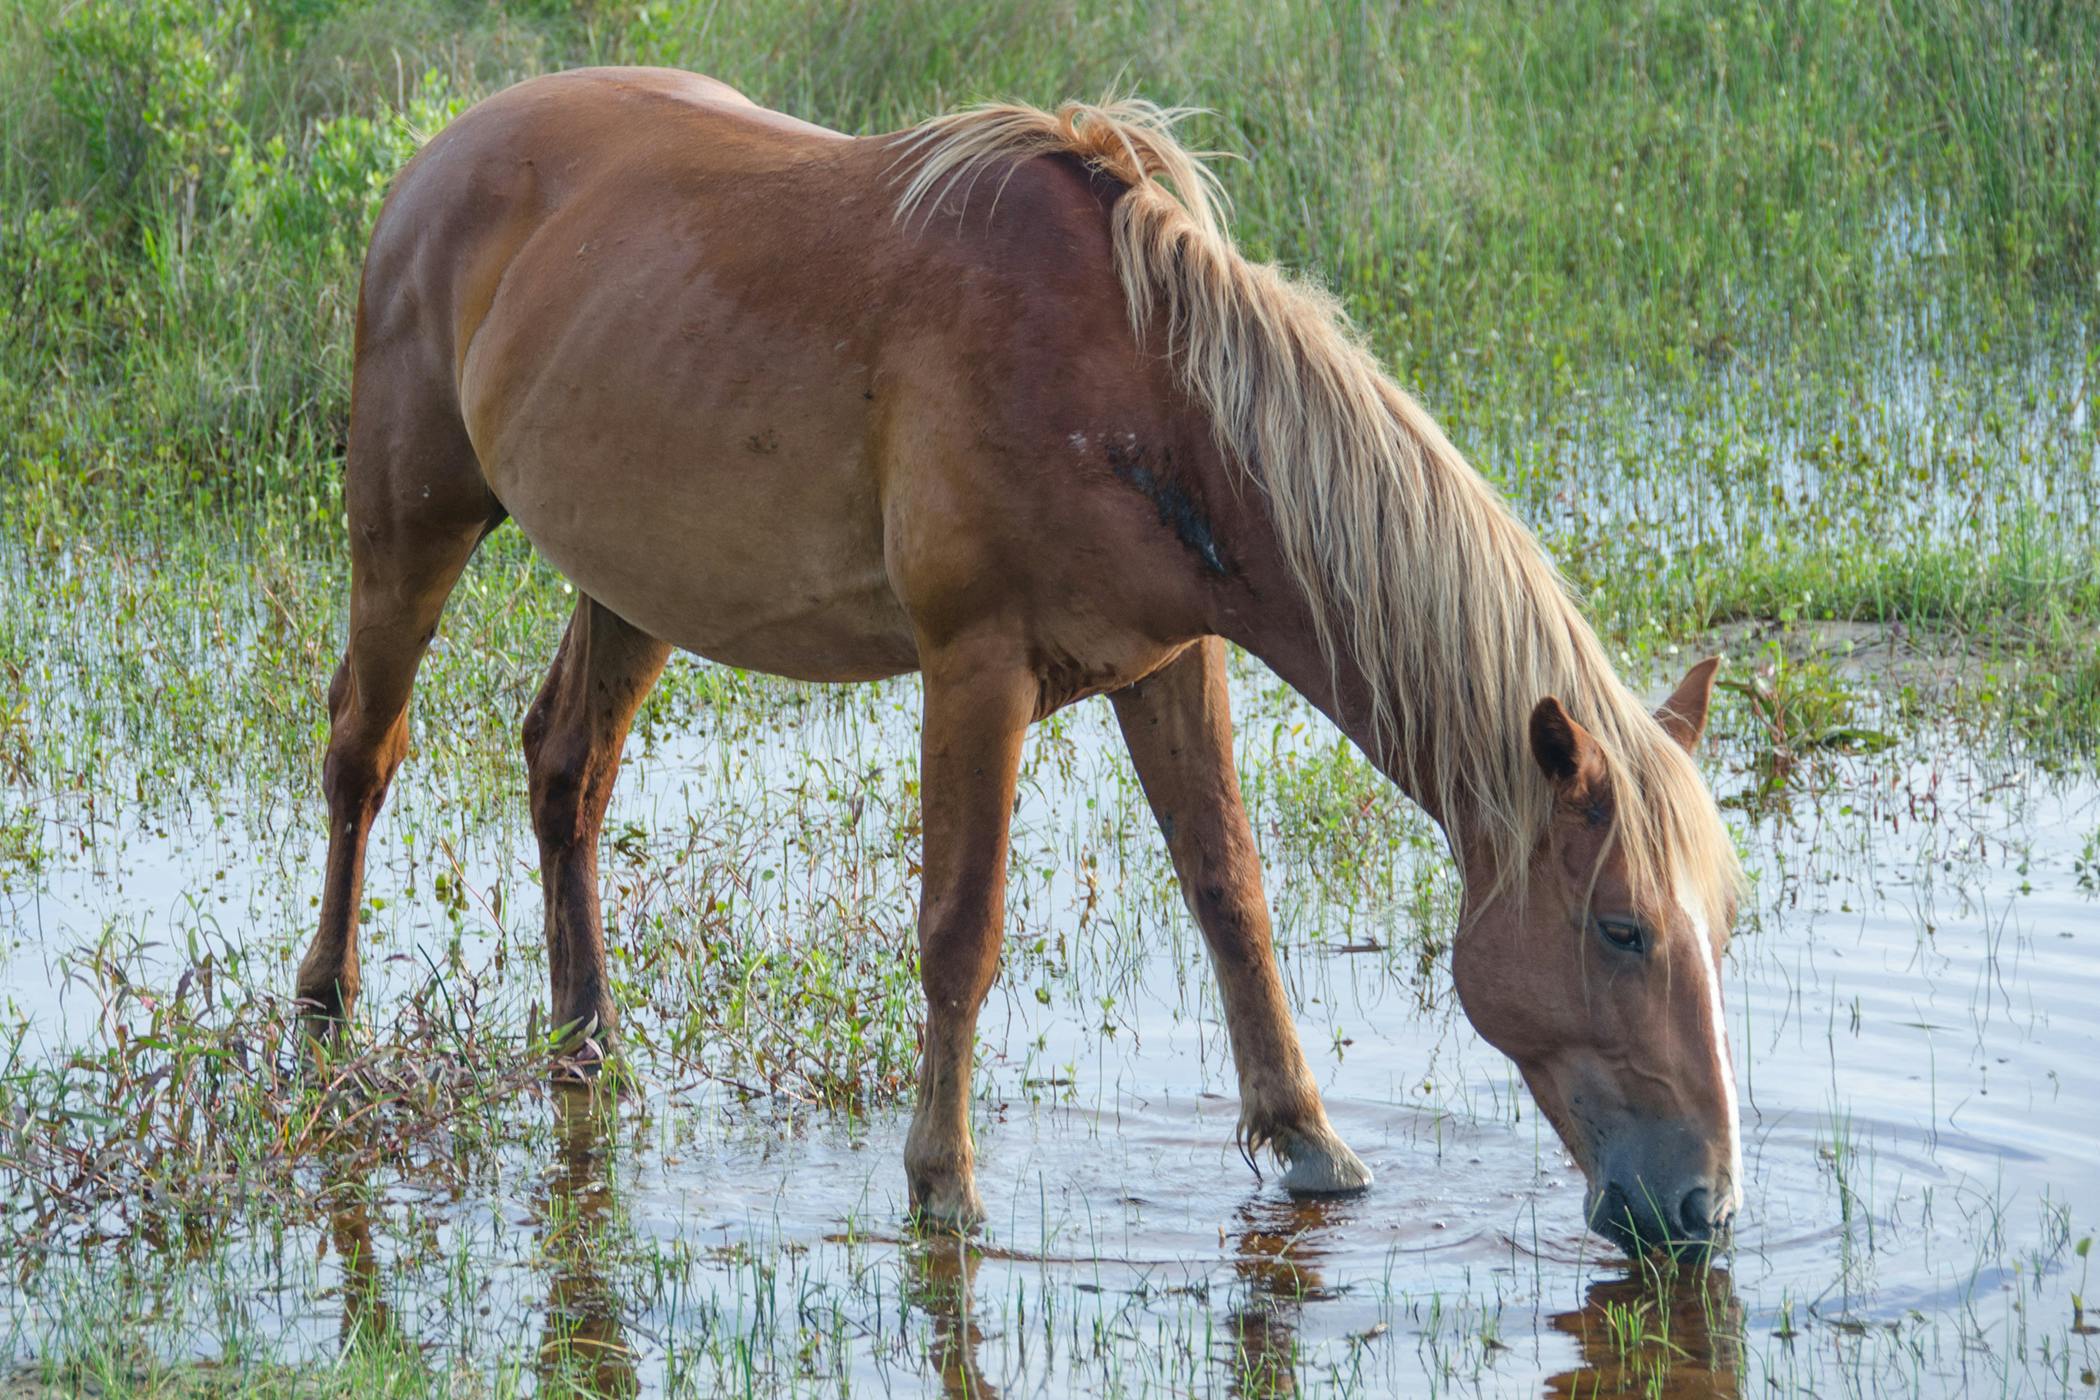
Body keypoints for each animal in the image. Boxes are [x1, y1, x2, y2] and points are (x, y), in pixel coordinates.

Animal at [296, 65, 1738, 1250]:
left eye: (1716, 925)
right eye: (1620, 928)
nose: (1702, 1205)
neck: (1145, 395)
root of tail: (443, 152)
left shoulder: (1173, 663)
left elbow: (1230, 897)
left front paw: (1310, 1141)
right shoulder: (973, 668)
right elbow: (960, 928)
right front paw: (943, 1180)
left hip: (632, 578)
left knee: (567, 771)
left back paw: (585, 1042)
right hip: (410, 522)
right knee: (363, 749)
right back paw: (324, 1015)